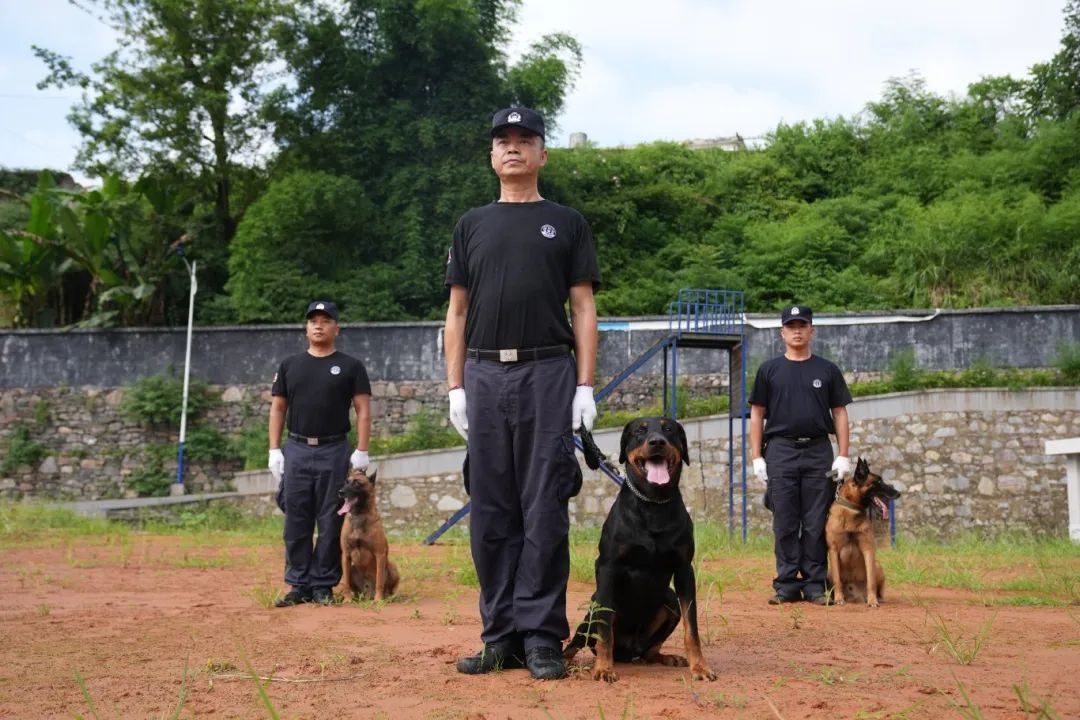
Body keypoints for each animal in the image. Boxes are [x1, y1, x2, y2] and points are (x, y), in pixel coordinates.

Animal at [334, 468, 399, 604]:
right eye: (346, 482)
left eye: (357, 483)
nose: (340, 492)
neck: (359, 515)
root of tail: (368, 593)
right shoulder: (346, 555)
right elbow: (345, 583)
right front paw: (347, 599)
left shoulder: (380, 555)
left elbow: (380, 580)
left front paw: (378, 600)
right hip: (352, 569)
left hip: (392, 567)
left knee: (390, 588)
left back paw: (388, 597)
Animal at [565, 416, 717, 682]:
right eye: (640, 431)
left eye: (669, 429)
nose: (657, 442)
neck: (653, 504)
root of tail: (627, 652)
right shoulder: (607, 567)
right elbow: (605, 629)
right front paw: (604, 668)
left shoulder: (684, 569)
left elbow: (692, 628)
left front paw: (699, 667)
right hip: (593, 605)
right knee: (578, 641)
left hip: (669, 601)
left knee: (648, 651)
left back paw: (667, 657)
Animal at [825, 459, 902, 604]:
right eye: (878, 482)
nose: (899, 493)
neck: (851, 510)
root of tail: (856, 597)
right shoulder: (833, 550)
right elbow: (838, 580)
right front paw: (838, 599)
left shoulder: (868, 549)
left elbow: (871, 581)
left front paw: (872, 601)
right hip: (829, 571)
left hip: (877, 565)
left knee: (878, 588)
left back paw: (877, 598)